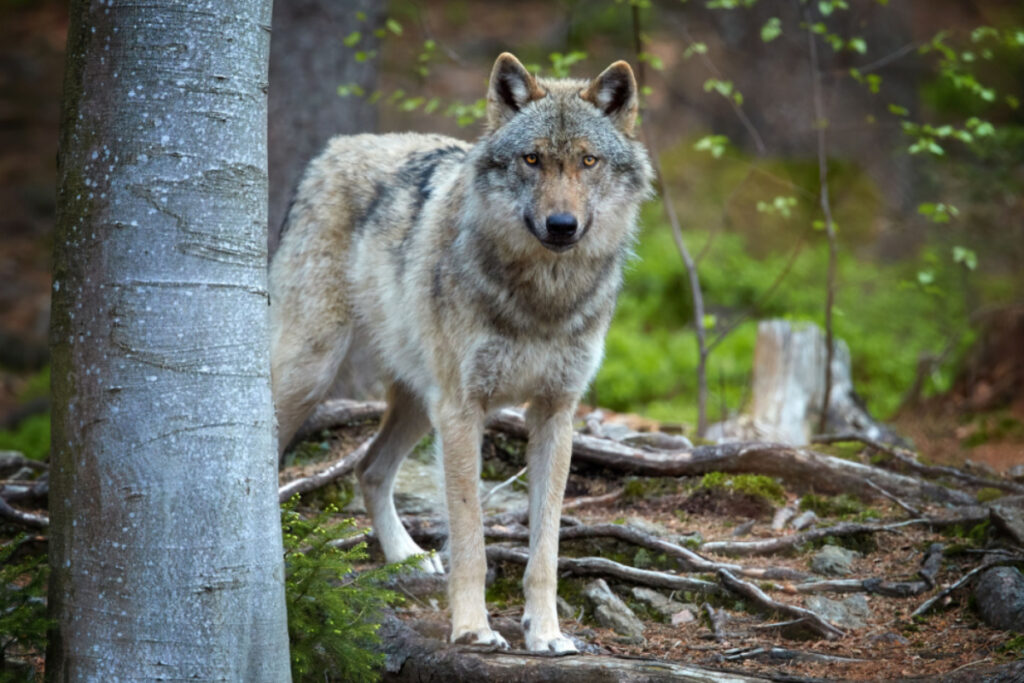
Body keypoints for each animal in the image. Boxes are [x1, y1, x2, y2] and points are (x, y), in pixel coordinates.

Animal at [269, 53, 652, 652]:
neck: (543, 298)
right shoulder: (463, 410)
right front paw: (473, 628)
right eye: (532, 159)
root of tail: (333, 148)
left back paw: (406, 556)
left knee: (369, 468)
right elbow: (471, 536)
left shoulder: (556, 414)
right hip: (313, 371)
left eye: (588, 161)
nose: (561, 226)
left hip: (418, 403)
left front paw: (547, 633)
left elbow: (547, 547)